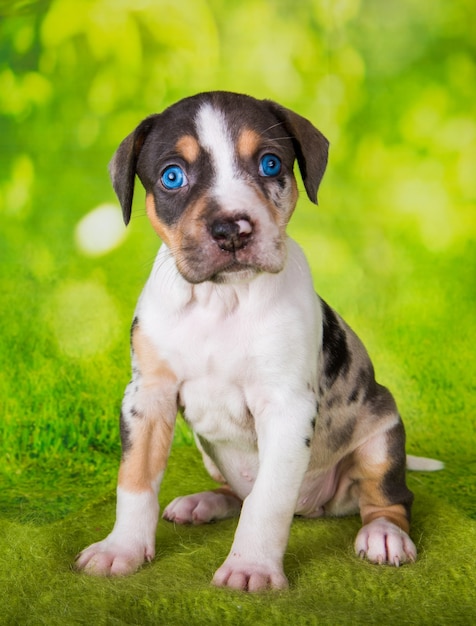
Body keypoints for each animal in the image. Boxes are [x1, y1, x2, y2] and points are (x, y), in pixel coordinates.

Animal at [75, 90, 442, 588]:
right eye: (172, 176)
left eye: (270, 164)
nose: (233, 229)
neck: (221, 299)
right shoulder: (147, 397)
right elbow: (135, 481)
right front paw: (122, 549)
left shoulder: (286, 407)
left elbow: (267, 502)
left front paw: (250, 566)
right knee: (238, 493)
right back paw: (204, 502)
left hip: (381, 438)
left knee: (390, 498)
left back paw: (384, 535)